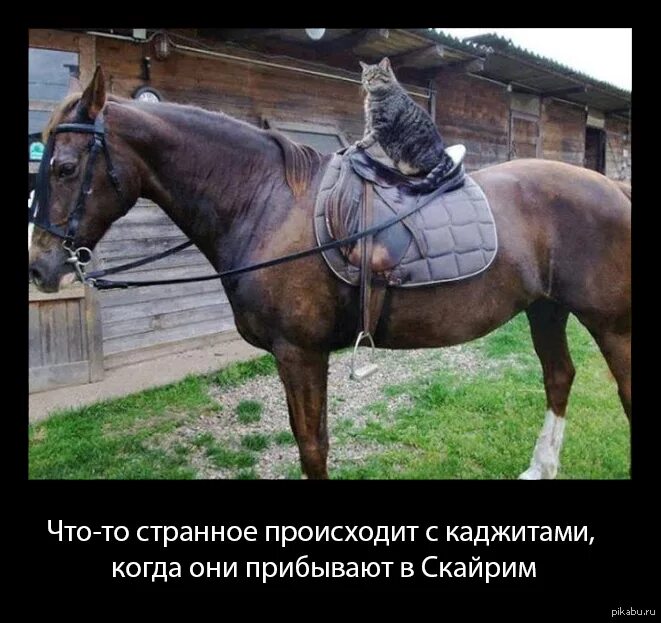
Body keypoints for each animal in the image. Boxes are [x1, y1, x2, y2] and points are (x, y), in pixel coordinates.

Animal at [28, 68, 631, 479]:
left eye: (63, 167)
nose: (41, 266)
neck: (266, 202)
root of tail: (613, 189)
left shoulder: (299, 353)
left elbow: (312, 445)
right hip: (546, 309)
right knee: (559, 377)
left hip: (609, 323)